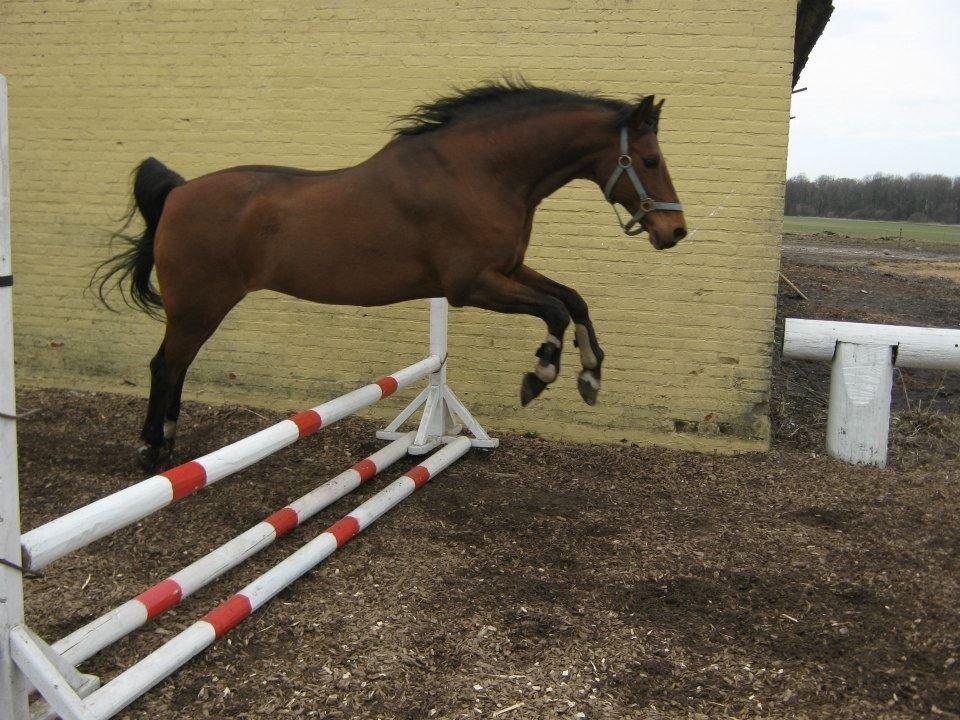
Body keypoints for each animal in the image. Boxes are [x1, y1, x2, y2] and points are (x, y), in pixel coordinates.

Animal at [95, 80, 687, 471]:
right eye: (650, 161)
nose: (674, 231)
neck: (479, 172)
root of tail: (178, 193)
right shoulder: (473, 285)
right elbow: (556, 310)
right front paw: (538, 377)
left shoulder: (508, 270)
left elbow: (574, 299)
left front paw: (590, 376)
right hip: (199, 306)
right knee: (165, 366)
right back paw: (152, 450)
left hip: (199, 309)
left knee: (176, 367)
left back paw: (170, 445)